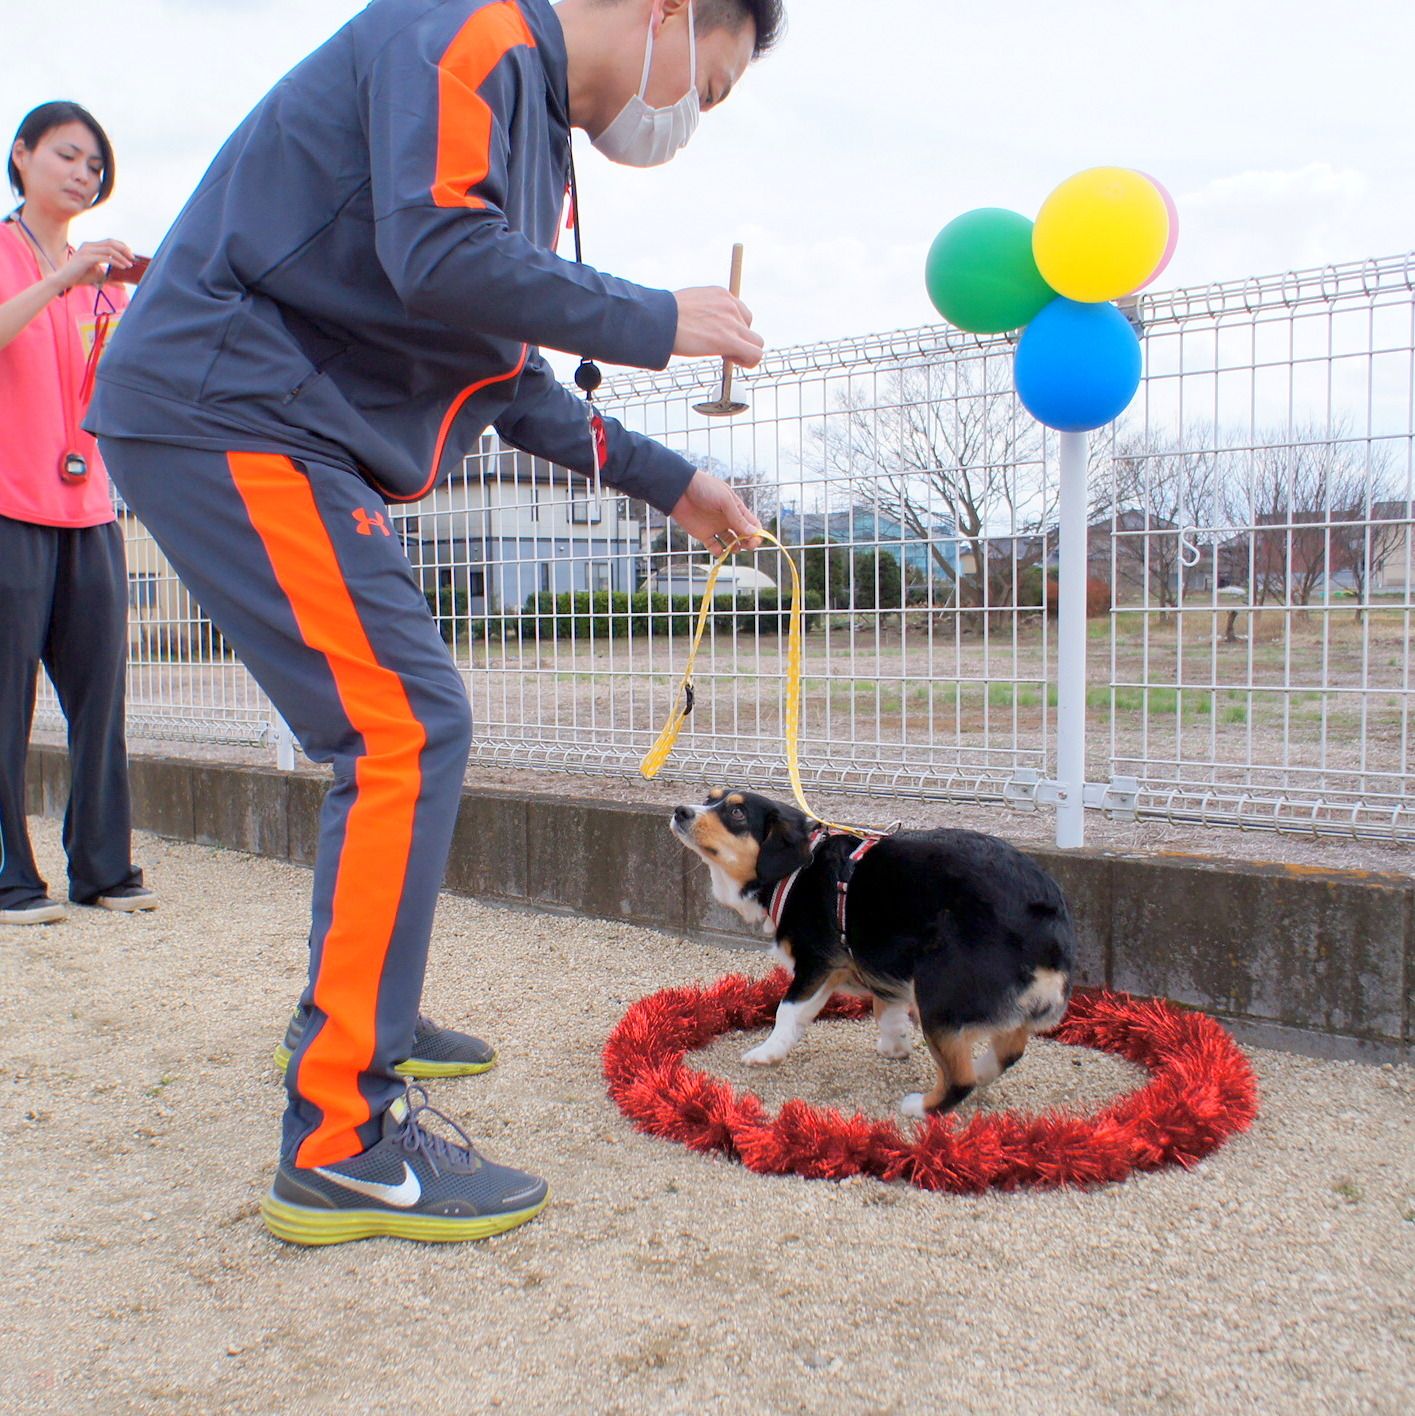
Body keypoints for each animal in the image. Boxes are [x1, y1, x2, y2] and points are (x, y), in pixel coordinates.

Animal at [670, 789, 1076, 1118]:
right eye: (709, 798)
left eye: (737, 813)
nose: (681, 811)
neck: (798, 869)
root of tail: (1048, 926)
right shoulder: (870, 962)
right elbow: (886, 1007)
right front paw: (894, 1043)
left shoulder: (817, 962)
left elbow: (787, 1012)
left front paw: (768, 1052)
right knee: (1009, 1050)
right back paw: (982, 1071)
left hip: (939, 990)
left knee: (960, 1077)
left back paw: (921, 1106)